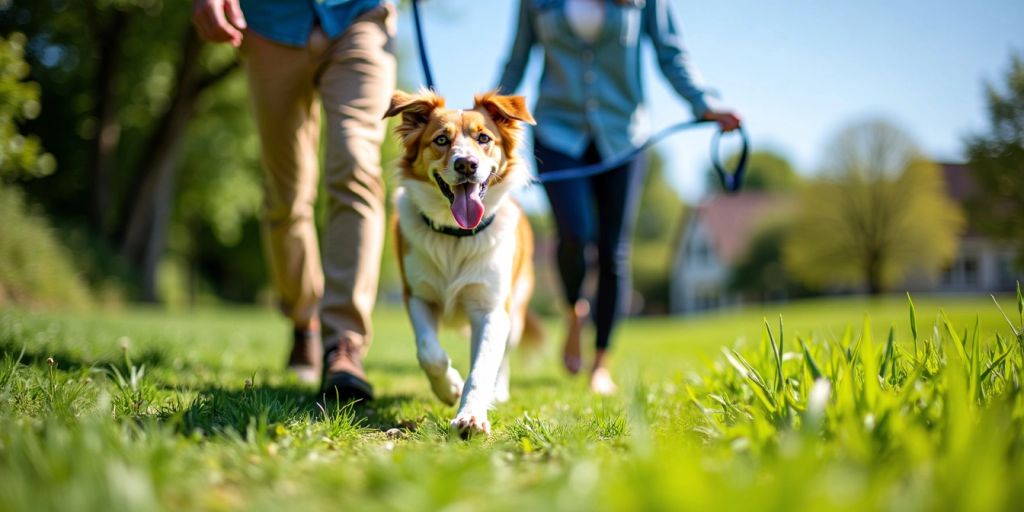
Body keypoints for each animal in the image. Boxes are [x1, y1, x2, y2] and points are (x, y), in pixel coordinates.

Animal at [385, 90, 540, 438]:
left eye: (484, 138)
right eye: (441, 139)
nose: (467, 164)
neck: (455, 236)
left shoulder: (491, 309)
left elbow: (482, 367)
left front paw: (470, 417)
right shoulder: (417, 296)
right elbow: (429, 351)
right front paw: (450, 388)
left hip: (515, 312)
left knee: (502, 357)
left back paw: (498, 392)